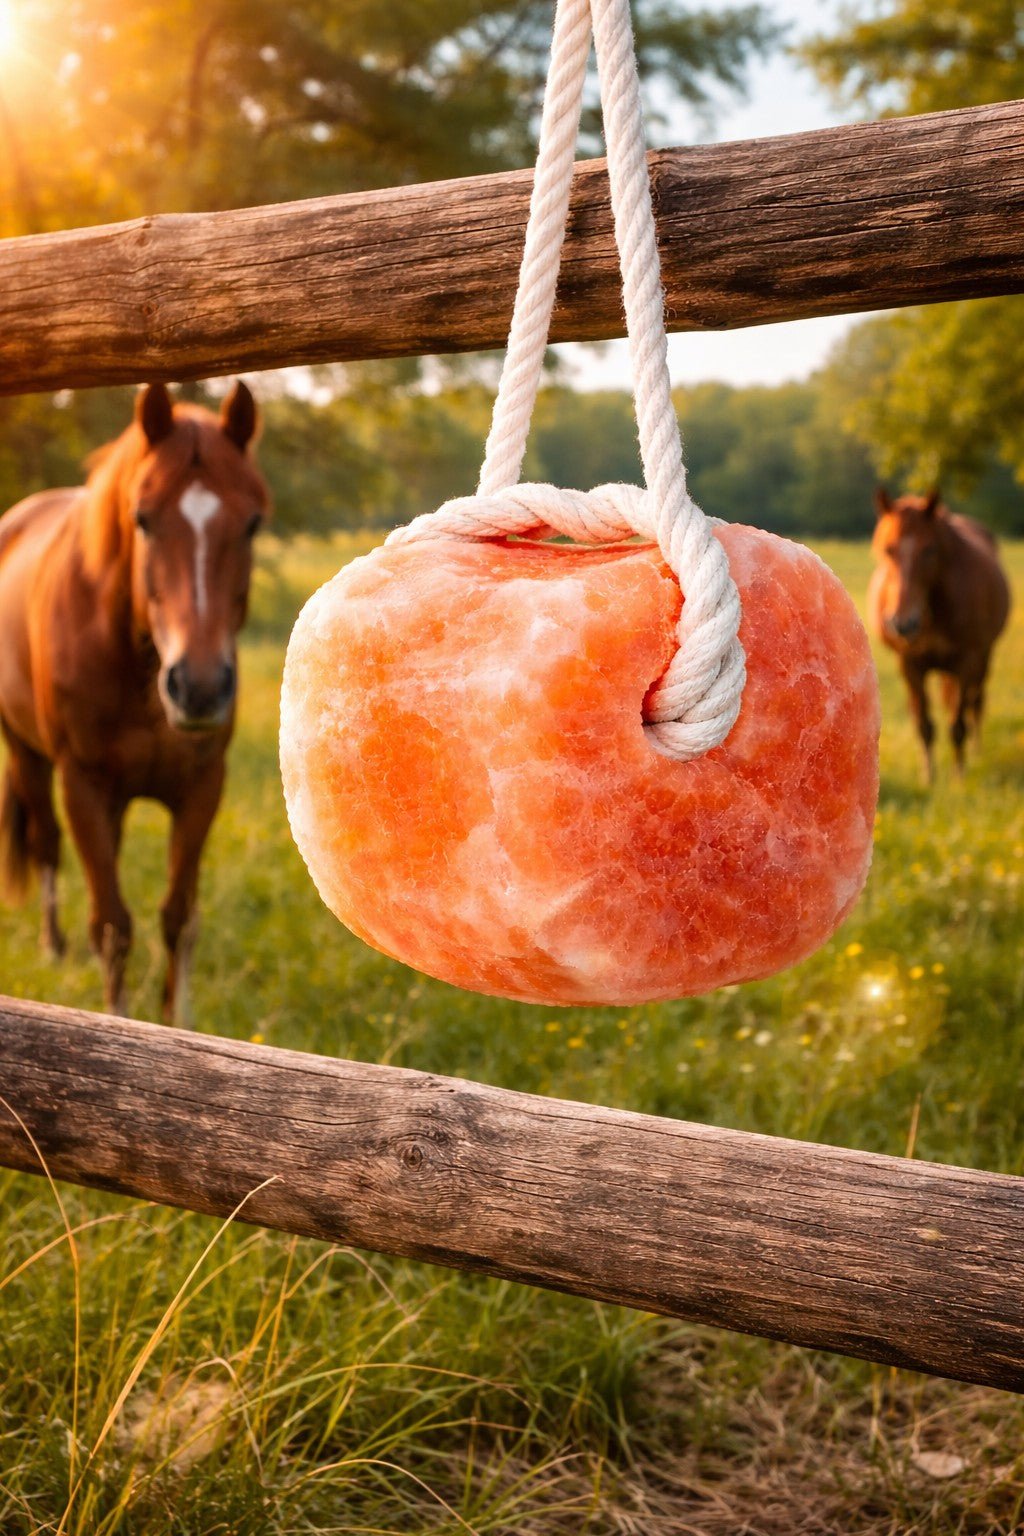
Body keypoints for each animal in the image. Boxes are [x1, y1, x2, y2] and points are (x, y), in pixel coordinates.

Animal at [0, 381, 269, 1021]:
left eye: (252, 524)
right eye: (142, 520)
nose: (199, 687)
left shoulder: (202, 788)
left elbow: (179, 920)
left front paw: (179, 1024)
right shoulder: (82, 784)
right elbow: (112, 926)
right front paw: (115, 1020)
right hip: (26, 754)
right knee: (47, 846)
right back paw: (53, 948)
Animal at [869, 487, 1011, 782]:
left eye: (929, 550)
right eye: (888, 549)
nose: (903, 624)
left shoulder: (967, 662)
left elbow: (957, 724)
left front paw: (958, 777)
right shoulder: (910, 665)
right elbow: (924, 724)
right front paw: (929, 777)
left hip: (984, 658)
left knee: (975, 704)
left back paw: (976, 751)